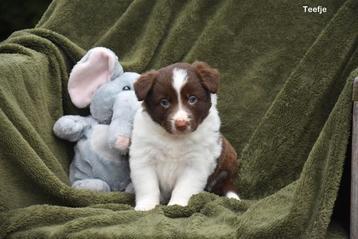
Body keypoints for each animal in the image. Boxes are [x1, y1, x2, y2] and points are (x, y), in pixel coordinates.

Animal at [130, 61, 239, 211]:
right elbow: (148, 186)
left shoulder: (195, 163)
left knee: (227, 185)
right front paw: (146, 207)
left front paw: (177, 206)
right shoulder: (143, 157)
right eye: (164, 102)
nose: (181, 124)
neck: (173, 139)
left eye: (192, 99)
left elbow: (183, 188)